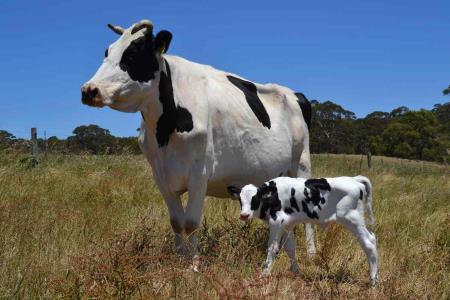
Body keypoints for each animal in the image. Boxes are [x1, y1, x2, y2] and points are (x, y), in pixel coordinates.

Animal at [81, 18, 314, 268]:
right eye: (107, 51)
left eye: (134, 53)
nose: (89, 90)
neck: (164, 131)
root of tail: (295, 94)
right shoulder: (161, 176)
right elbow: (176, 222)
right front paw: (179, 259)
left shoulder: (199, 174)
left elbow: (191, 222)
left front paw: (193, 265)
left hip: (301, 164)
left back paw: (311, 255)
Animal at [227, 175, 378, 284]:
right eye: (240, 200)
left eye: (255, 198)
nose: (244, 215)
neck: (273, 196)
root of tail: (354, 179)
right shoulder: (287, 225)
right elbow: (290, 248)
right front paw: (295, 273)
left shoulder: (276, 222)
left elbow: (272, 248)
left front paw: (264, 274)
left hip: (353, 219)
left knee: (369, 242)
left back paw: (373, 281)